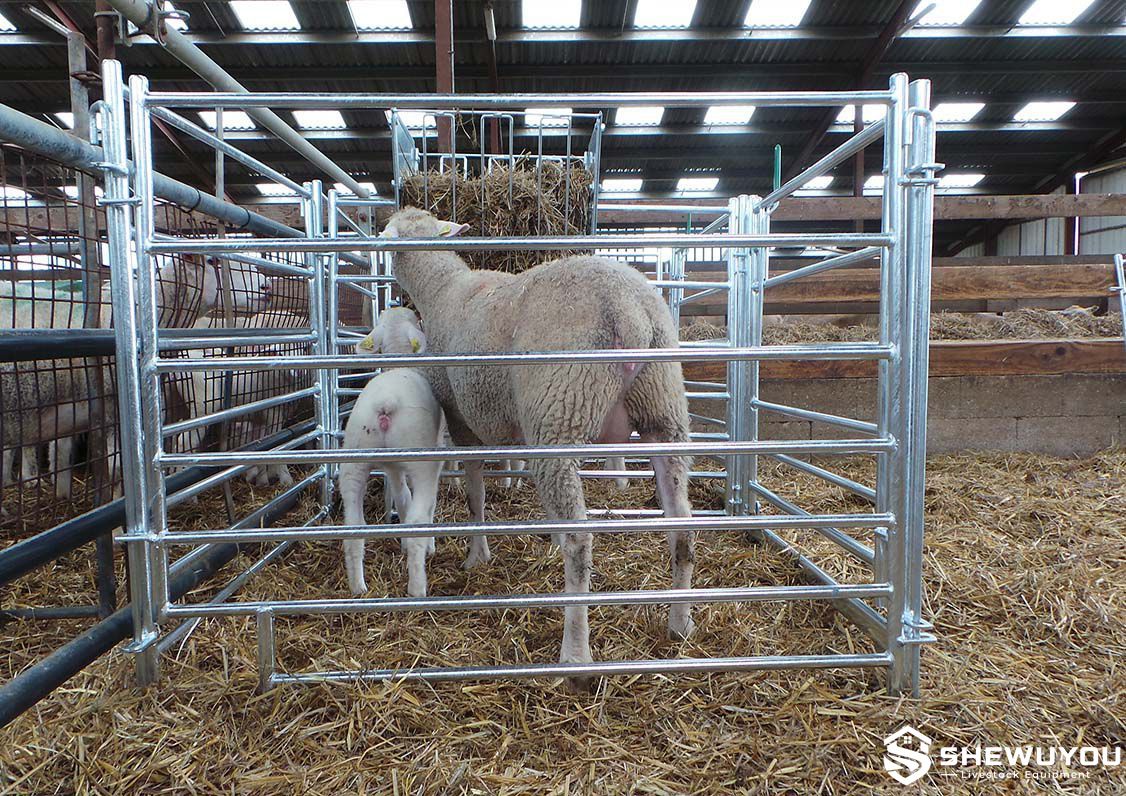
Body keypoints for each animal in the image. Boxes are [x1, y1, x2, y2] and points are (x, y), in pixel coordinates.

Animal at [382, 207, 695, 684]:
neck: (443, 289)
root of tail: (628, 308)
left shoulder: (462, 418)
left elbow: (475, 493)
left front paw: (478, 555)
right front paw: (543, 534)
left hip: (561, 407)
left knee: (581, 543)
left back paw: (575, 657)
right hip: (662, 407)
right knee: (681, 526)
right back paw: (679, 623)